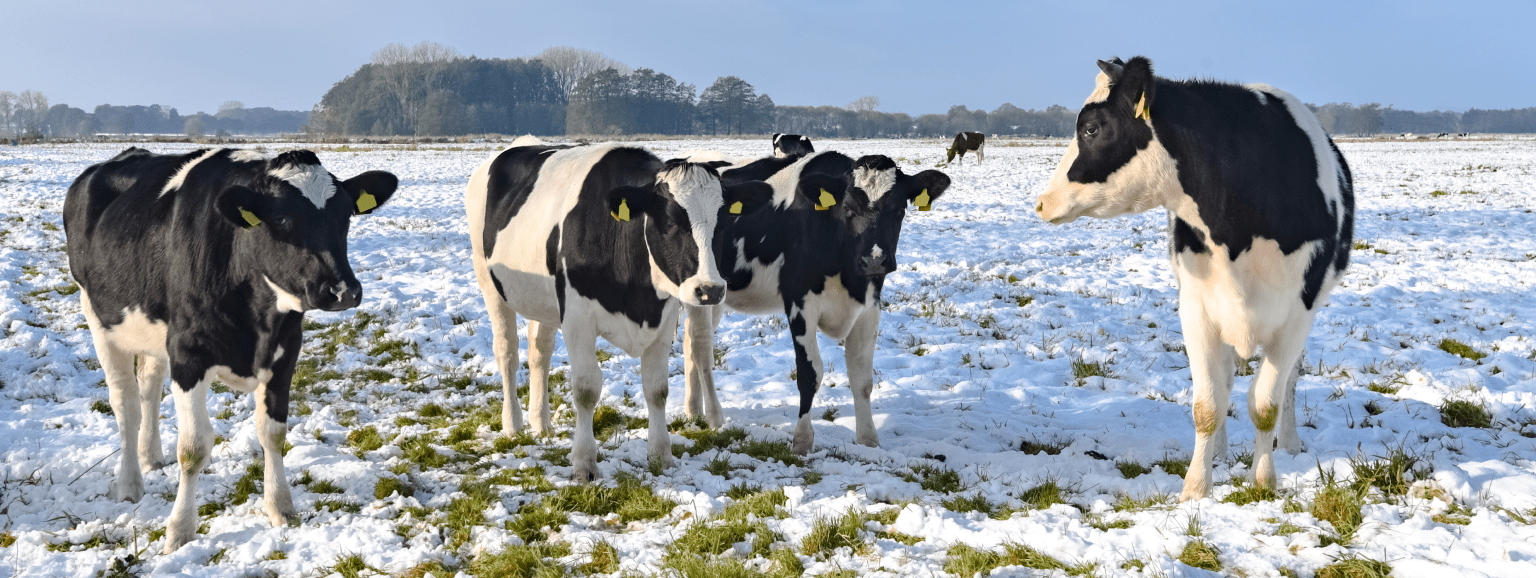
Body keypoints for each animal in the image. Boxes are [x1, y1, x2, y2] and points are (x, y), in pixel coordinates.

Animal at [66, 145, 402, 550]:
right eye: (283, 218)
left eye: (346, 215)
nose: (343, 291)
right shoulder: (188, 354)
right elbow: (193, 448)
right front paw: (180, 531)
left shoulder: (285, 350)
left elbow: (273, 433)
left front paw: (281, 507)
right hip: (99, 318)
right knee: (125, 404)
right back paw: (131, 483)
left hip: (150, 328)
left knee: (148, 386)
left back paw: (151, 457)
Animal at [466, 142, 774, 479]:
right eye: (669, 221)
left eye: (723, 222)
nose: (711, 289)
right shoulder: (577, 319)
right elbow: (586, 389)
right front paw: (584, 464)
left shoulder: (663, 318)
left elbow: (657, 389)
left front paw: (661, 456)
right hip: (490, 284)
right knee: (507, 352)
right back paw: (513, 423)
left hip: (543, 300)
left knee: (539, 351)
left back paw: (541, 422)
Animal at [681, 151, 946, 455]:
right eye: (847, 208)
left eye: (900, 208)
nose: (875, 260)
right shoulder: (799, 302)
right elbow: (810, 374)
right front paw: (802, 441)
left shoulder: (869, 307)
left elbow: (862, 379)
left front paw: (869, 440)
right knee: (701, 347)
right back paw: (713, 416)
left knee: (689, 341)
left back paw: (693, 411)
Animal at [1032, 57, 1357, 501]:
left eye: (1092, 129)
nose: (1042, 202)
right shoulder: (1196, 307)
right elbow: (1208, 404)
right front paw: (1196, 489)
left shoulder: (1297, 316)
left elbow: (1266, 403)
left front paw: (1263, 480)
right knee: (1225, 381)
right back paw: (1218, 452)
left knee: (1288, 382)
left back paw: (1289, 444)